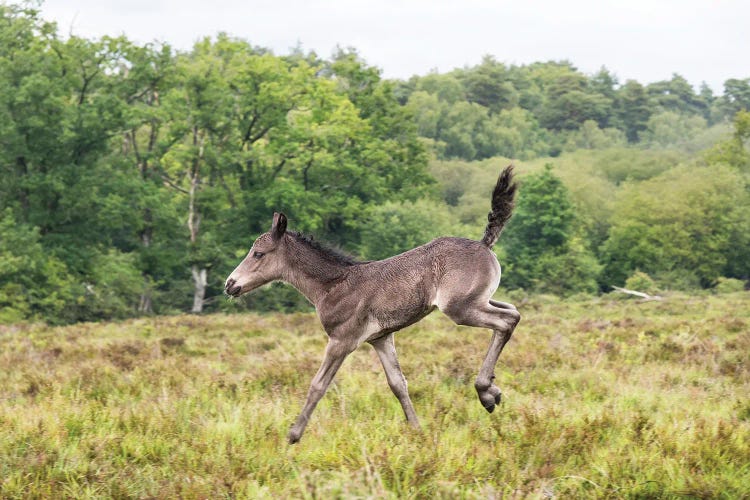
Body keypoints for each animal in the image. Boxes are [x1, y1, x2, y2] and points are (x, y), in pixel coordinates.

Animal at [226, 166, 520, 444]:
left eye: (258, 254)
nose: (230, 284)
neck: (333, 285)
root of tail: (484, 244)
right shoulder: (381, 338)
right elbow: (398, 384)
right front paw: (417, 431)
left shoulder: (341, 340)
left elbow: (318, 385)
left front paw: (293, 435)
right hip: (479, 300)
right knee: (512, 312)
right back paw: (492, 390)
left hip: (460, 308)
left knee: (506, 321)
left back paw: (485, 393)